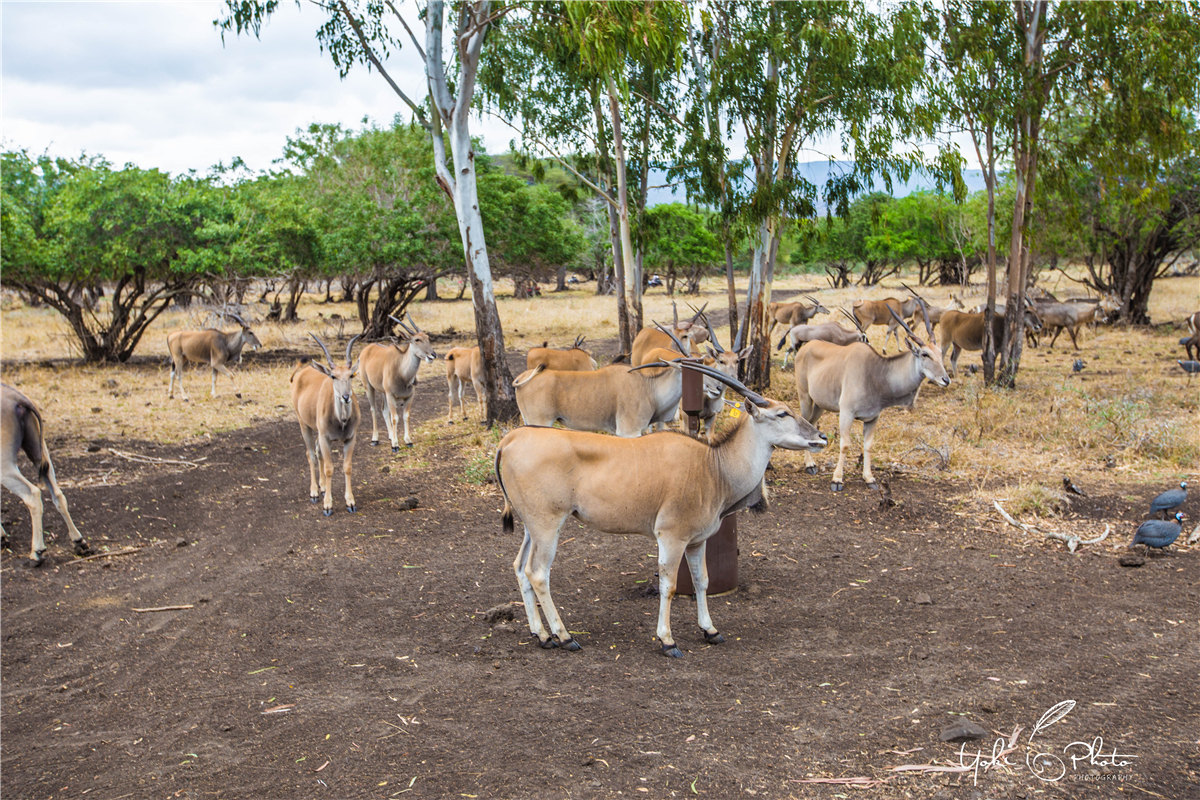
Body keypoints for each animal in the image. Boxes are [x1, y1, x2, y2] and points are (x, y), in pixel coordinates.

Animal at [494, 362, 825, 657]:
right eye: (782, 413)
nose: (821, 437)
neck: (713, 466)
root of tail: (510, 440)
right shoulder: (671, 537)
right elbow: (669, 585)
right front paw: (668, 641)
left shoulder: (697, 542)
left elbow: (702, 581)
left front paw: (710, 630)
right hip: (548, 525)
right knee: (538, 573)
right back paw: (564, 637)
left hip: (533, 527)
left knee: (520, 567)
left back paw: (541, 636)